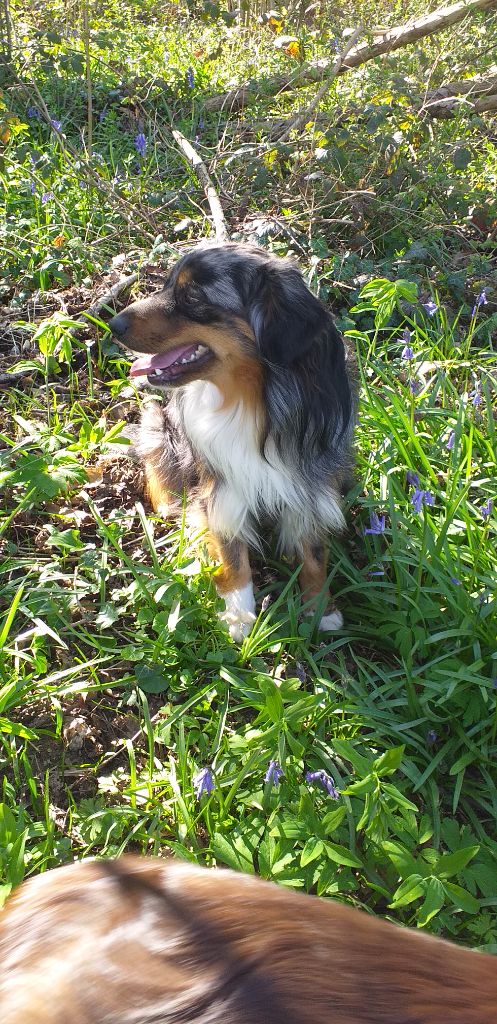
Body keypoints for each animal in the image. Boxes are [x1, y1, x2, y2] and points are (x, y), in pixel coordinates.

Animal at [109, 243, 355, 641]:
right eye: (166, 285)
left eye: (193, 296)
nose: (113, 325)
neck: (252, 403)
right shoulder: (222, 488)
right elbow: (232, 554)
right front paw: (239, 618)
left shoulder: (312, 484)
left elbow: (314, 551)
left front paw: (320, 608)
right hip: (158, 424)